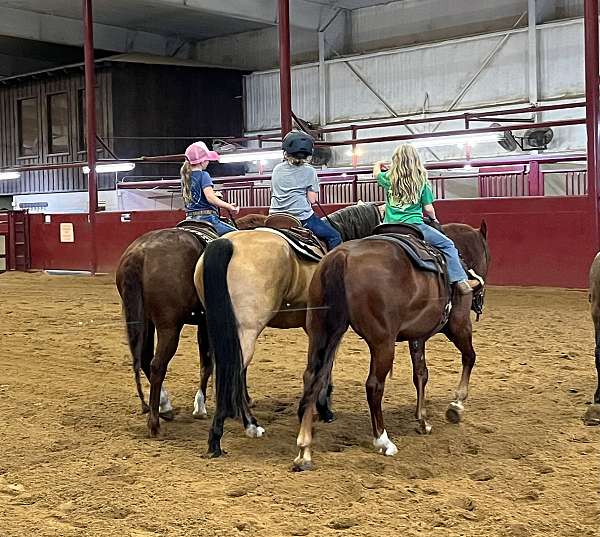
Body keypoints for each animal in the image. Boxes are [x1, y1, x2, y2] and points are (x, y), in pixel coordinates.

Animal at [116, 211, 266, 438]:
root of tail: (138, 254)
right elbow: (215, 362)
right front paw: (205, 405)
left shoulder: (204, 323)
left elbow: (207, 361)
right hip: (169, 326)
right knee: (157, 365)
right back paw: (154, 423)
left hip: (143, 320)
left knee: (144, 359)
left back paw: (165, 407)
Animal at [195, 203, 382, 454]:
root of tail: (228, 244)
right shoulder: (331, 329)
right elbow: (326, 366)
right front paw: (324, 408)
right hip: (247, 330)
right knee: (234, 371)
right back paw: (235, 431)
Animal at [292, 220, 490, 466]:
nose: (480, 300)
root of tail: (341, 257)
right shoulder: (459, 325)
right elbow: (470, 357)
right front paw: (457, 405)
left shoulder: (417, 336)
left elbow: (421, 374)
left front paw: (423, 420)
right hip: (383, 343)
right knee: (374, 385)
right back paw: (383, 440)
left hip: (322, 332)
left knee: (313, 376)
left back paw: (304, 449)